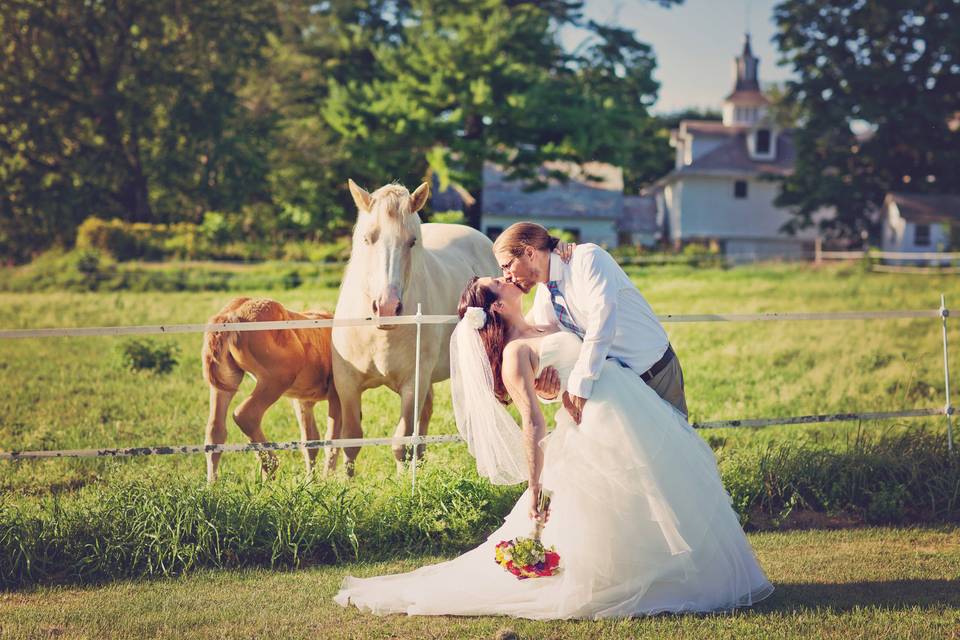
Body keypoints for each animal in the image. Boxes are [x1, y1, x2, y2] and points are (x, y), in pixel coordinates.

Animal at [330, 180, 498, 476]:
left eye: (412, 242)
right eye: (367, 239)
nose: (387, 307)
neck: (377, 334)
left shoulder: (413, 383)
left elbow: (401, 442)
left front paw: (400, 482)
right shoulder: (346, 383)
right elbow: (351, 440)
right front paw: (344, 482)